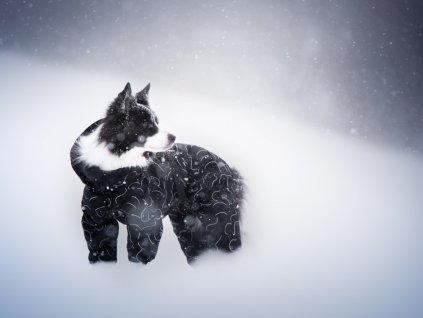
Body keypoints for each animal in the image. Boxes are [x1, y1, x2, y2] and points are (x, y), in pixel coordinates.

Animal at [70, 82, 245, 264]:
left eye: (157, 122)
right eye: (146, 125)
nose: (173, 137)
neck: (111, 178)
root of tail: (230, 170)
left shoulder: (145, 224)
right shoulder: (96, 221)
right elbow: (101, 251)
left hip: (221, 221)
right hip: (188, 226)